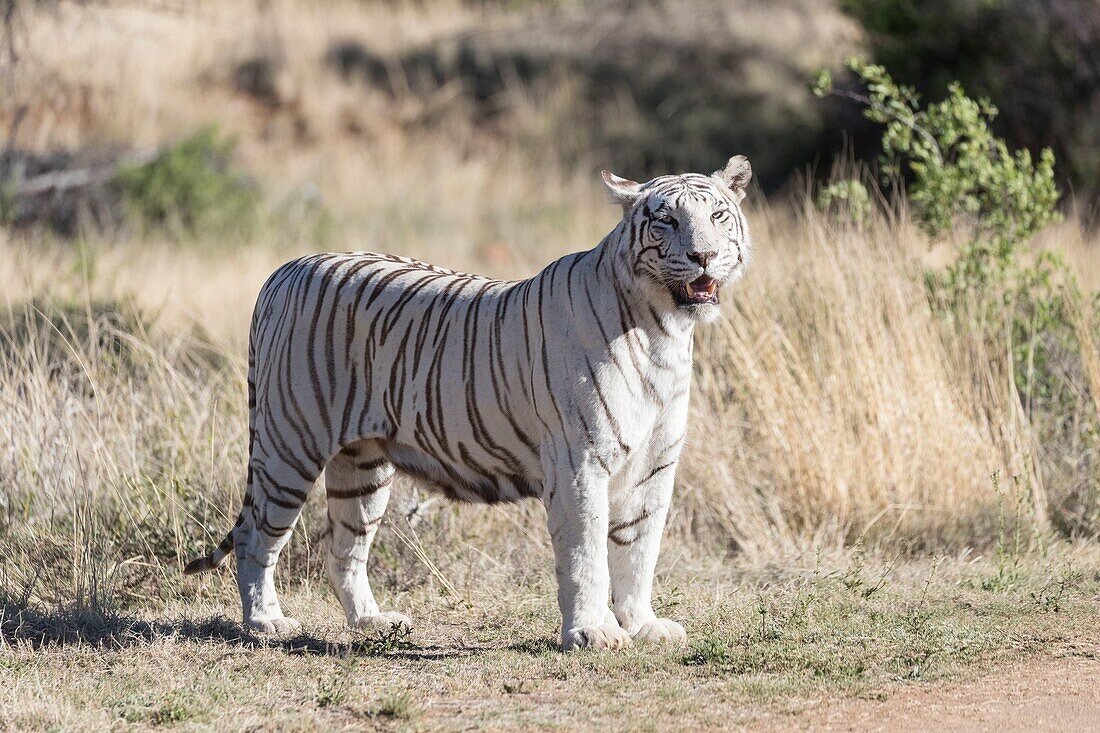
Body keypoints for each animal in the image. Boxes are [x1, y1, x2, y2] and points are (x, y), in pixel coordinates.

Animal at [189, 154, 752, 647]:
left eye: (717, 215)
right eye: (666, 221)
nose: (703, 256)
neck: (663, 331)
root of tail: (286, 269)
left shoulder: (655, 465)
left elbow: (639, 550)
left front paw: (642, 627)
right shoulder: (581, 462)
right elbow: (587, 556)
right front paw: (594, 634)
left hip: (362, 463)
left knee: (343, 544)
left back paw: (373, 622)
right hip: (289, 444)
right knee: (256, 536)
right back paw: (266, 623)